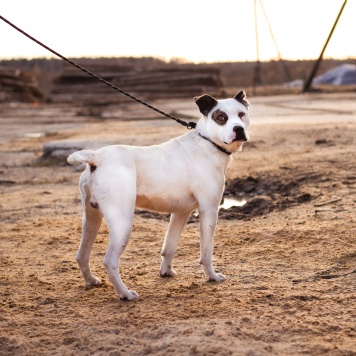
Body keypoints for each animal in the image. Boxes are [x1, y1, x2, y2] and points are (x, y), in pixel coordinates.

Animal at [67, 90, 250, 298]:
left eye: (241, 114)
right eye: (221, 118)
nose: (238, 129)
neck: (207, 143)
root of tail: (96, 157)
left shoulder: (181, 213)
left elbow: (169, 247)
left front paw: (166, 272)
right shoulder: (209, 211)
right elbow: (206, 252)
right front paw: (212, 276)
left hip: (91, 219)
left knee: (82, 255)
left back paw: (91, 280)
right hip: (122, 223)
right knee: (110, 261)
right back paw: (125, 294)